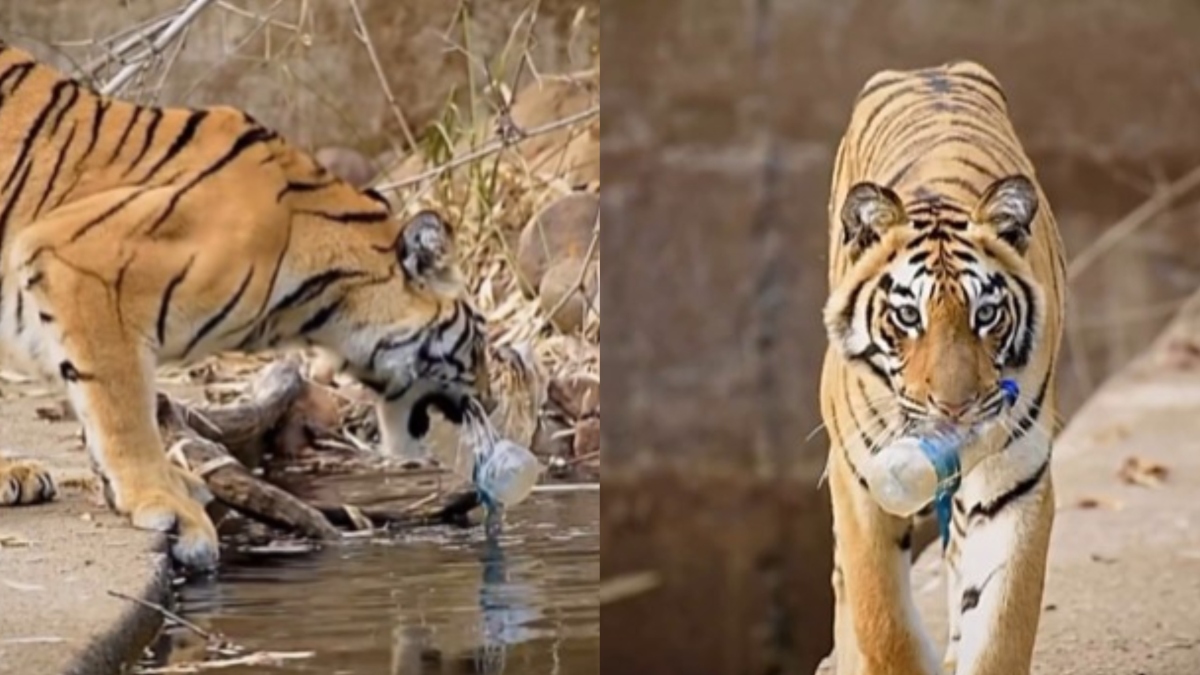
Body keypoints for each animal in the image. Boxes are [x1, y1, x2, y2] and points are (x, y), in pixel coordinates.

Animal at [820, 59, 1065, 672]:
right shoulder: (861, 479)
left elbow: (1000, 626)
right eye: (909, 315)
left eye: (986, 314)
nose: (955, 407)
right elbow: (883, 621)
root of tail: (928, 69)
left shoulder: (1015, 483)